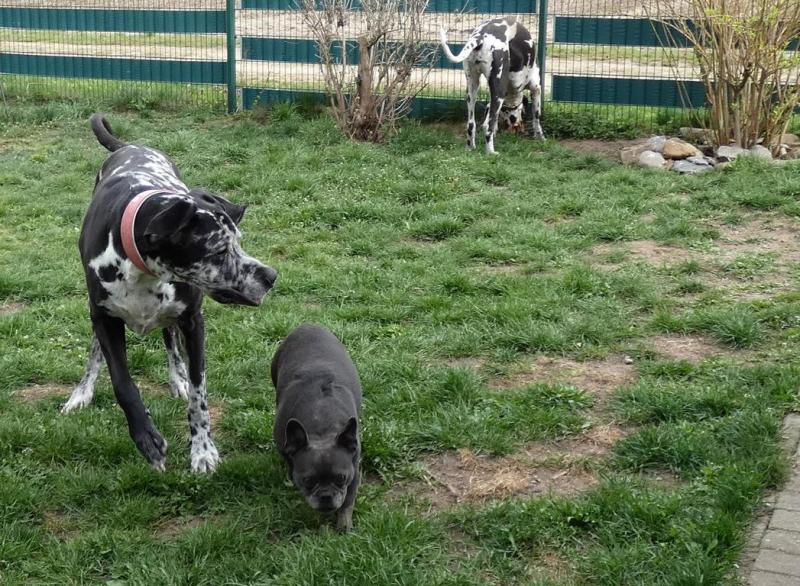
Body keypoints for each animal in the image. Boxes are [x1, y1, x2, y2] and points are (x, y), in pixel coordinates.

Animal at [62, 114, 277, 473]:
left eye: (239, 241)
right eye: (219, 251)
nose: (271, 277)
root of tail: (130, 145)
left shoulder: (192, 321)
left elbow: (199, 391)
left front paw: (203, 448)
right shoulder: (104, 317)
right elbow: (122, 382)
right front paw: (146, 438)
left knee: (169, 338)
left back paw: (177, 378)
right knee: (96, 350)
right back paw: (82, 391)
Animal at [271, 323, 362, 532]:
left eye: (341, 478)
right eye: (308, 480)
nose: (326, 496)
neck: (321, 424)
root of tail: (308, 325)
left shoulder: (354, 471)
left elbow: (348, 501)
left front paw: (344, 524)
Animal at [440, 17, 545, 154]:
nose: (517, 129)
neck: (512, 93)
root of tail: (480, 36)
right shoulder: (536, 88)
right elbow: (537, 118)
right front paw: (540, 137)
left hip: (472, 90)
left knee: (471, 125)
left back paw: (470, 147)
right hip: (498, 92)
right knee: (488, 130)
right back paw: (491, 152)